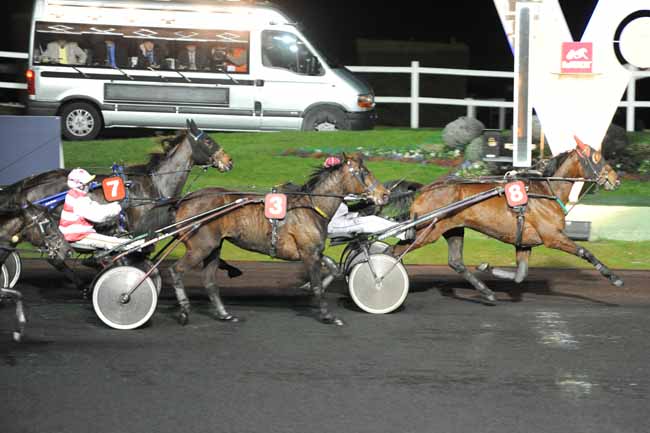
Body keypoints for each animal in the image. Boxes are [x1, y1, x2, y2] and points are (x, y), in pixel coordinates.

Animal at [0, 118, 233, 288]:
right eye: (208, 141)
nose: (229, 161)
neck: (155, 184)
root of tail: (29, 182)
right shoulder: (137, 233)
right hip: (44, 231)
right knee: (54, 257)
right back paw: (81, 282)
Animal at [168, 154, 390, 326]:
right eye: (364, 172)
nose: (385, 194)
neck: (311, 206)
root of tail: (185, 200)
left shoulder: (313, 251)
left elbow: (333, 266)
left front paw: (308, 287)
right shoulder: (308, 252)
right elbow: (317, 285)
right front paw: (328, 315)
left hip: (214, 247)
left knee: (209, 281)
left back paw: (224, 314)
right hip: (200, 247)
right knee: (175, 270)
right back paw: (184, 311)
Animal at [390, 137, 624, 302]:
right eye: (597, 158)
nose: (615, 179)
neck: (545, 190)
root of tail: (426, 188)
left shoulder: (525, 243)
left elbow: (520, 275)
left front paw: (486, 267)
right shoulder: (553, 237)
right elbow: (585, 252)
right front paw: (614, 277)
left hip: (452, 228)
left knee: (455, 262)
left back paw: (487, 292)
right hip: (426, 232)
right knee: (393, 252)